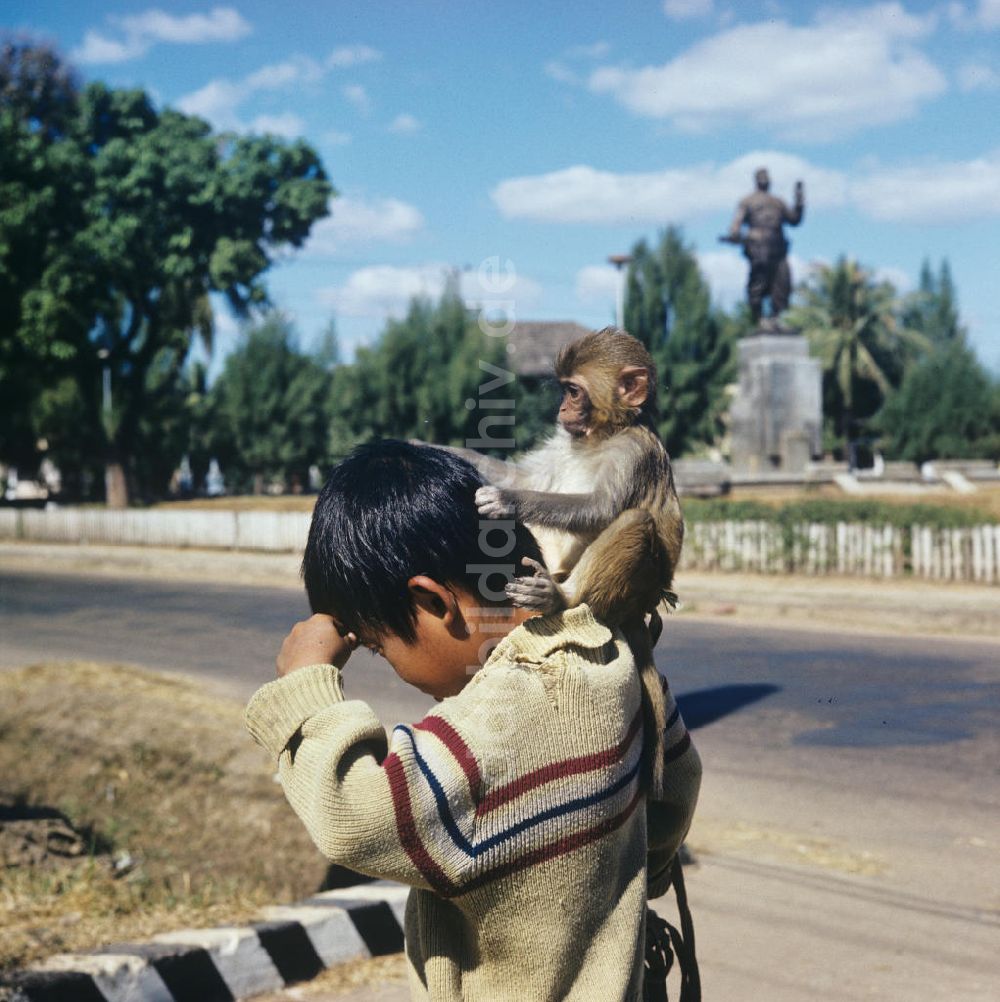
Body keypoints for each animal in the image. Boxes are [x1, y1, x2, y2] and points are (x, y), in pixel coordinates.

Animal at [450, 328, 685, 797]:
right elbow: (524, 474)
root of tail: (638, 606)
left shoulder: (632, 452)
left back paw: (561, 597)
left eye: (574, 391)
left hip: (630, 587)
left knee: (634, 520)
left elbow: (599, 509)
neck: (602, 434)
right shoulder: (565, 442)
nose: (561, 410)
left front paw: (508, 500)